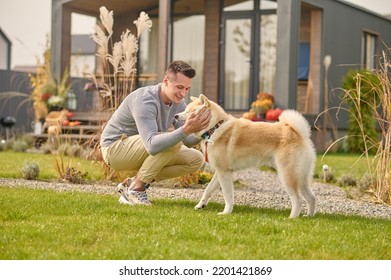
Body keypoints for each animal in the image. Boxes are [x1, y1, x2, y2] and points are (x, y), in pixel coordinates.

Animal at [176, 94, 316, 219]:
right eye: (185, 110)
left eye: (190, 112)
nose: (176, 115)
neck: (215, 128)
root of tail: (299, 134)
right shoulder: (220, 172)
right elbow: (208, 189)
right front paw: (201, 205)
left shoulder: (224, 173)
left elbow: (228, 196)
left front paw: (226, 212)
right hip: (301, 177)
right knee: (311, 197)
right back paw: (309, 216)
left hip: (287, 175)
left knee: (298, 199)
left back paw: (292, 218)